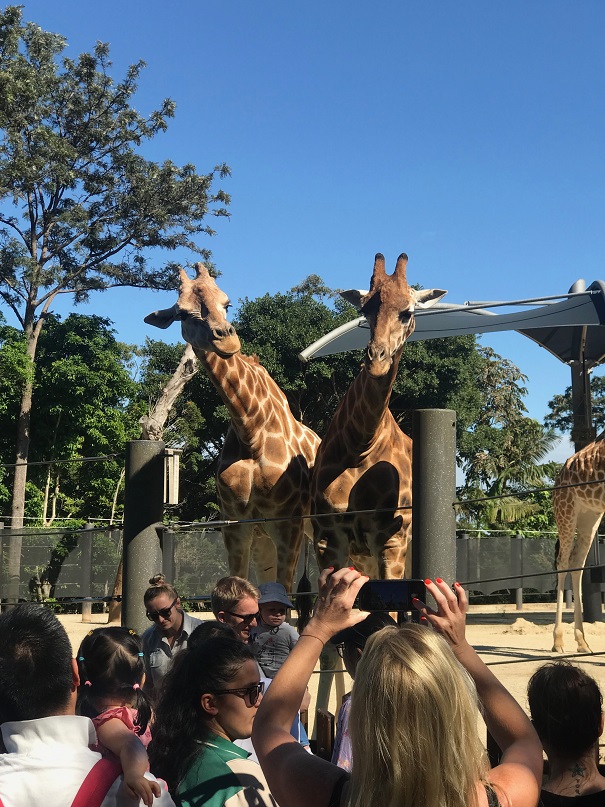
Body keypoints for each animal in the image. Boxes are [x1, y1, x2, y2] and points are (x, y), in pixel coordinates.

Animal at [145, 266, 320, 592]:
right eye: (183, 313)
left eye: (227, 303)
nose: (226, 340)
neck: (251, 431)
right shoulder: (236, 526)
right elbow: (238, 585)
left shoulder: (287, 523)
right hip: (268, 538)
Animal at [312, 256, 444, 576]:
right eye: (365, 310)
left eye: (407, 313)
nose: (376, 361)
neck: (360, 444)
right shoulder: (327, 538)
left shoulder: (390, 540)